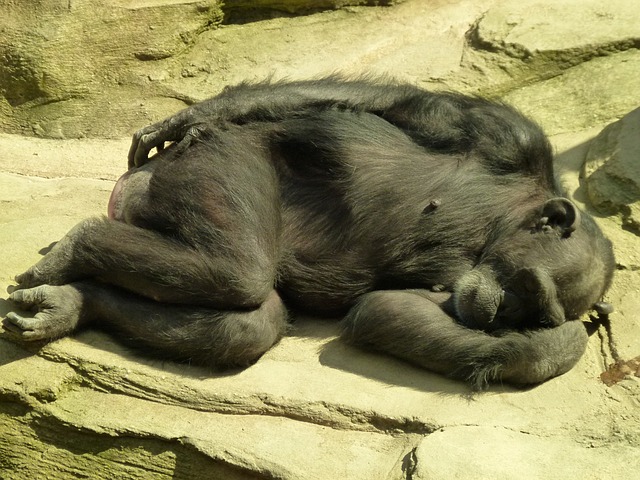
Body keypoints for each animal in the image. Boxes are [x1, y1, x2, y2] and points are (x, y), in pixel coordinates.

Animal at [3, 77, 616, 388]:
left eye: (534, 310)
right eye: (527, 288)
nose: (497, 313)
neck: (503, 219)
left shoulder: (459, 291)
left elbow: (392, 310)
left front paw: (559, 343)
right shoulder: (507, 134)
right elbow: (393, 104)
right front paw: (184, 118)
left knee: (249, 323)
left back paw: (69, 301)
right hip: (217, 160)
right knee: (237, 270)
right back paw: (78, 244)